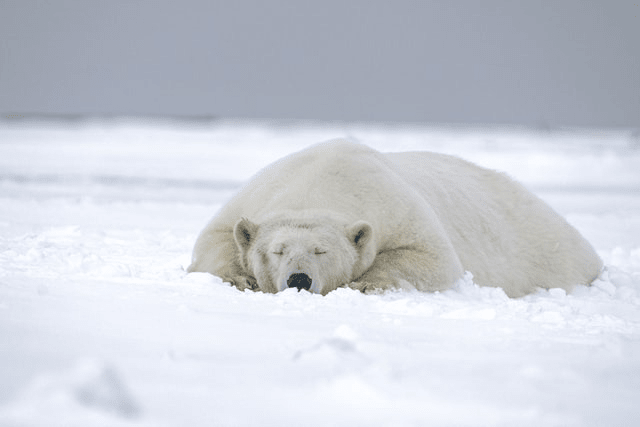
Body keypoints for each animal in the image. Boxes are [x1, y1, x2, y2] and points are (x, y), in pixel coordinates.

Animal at [187, 139, 602, 297]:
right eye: (277, 250)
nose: (299, 279)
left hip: (546, 249)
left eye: (322, 251)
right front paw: (240, 278)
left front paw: (365, 284)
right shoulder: (257, 194)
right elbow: (215, 240)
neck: (320, 182)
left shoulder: (393, 205)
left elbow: (432, 258)